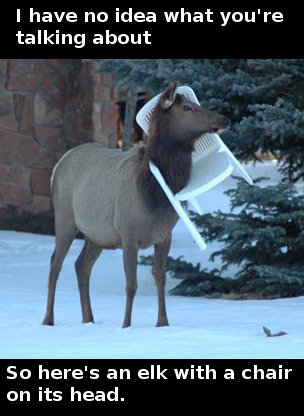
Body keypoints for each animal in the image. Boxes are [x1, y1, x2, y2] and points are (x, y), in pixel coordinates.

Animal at [42, 82, 228, 328]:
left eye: (195, 103)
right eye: (187, 108)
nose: (224, 119)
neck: (152, 194)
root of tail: (58, 165)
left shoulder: (164, 236)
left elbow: (161, 279)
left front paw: (163, 323)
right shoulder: (129, 234)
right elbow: (131, 285)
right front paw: (126, 326)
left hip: (98, 234)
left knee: (81, 266)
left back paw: (88, 319)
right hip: (65, 218)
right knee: (55, 263)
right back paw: (48, 319)